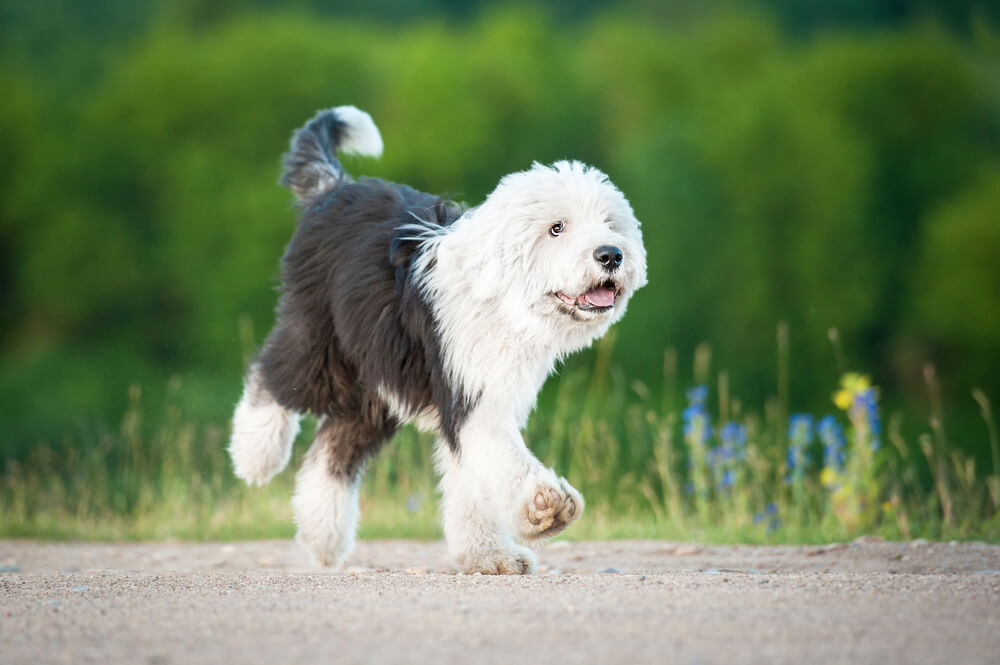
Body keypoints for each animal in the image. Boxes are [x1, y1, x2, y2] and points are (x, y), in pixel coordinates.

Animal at [229, 106, 648, 572]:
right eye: (557, 228)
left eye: (609, 224)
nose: (611, 254)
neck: (502, 297)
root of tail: (334, 188)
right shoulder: (470, 395)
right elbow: (502, 459)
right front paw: (544, 509)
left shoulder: (483, 395)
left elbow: (470, 482)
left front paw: (489, 555)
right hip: (322, 342)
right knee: (273, 375)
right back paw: (256, 455)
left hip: (376, 385)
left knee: (333, 450)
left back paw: (323, 539)